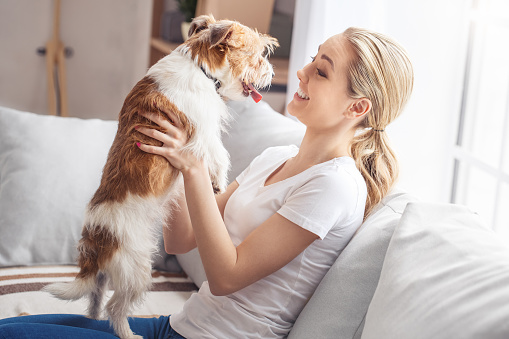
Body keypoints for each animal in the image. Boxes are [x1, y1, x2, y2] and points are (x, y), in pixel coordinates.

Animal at [44, 14, 278, 338]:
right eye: (257, 56)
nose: (272, 73)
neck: (200, 67)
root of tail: (98, 241)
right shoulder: (204, 132)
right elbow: (220, 154)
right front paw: (218, 181)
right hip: (137, 269)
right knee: (115, 308)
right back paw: (127, 333)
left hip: (108, 275)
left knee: (96, 295)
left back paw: (92, 318)